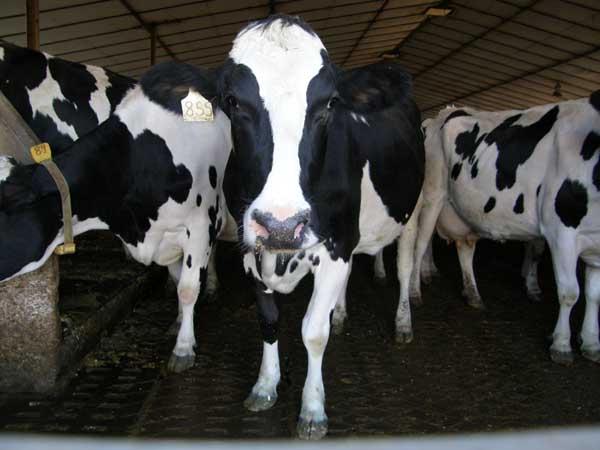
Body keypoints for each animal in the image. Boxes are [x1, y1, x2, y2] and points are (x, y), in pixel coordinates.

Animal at [0, 62, 232, 372]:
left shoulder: (199, 224)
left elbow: (187, 287)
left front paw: (183, 348)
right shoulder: (165, 237)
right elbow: (176, 277)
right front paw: (179, 321)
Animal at [218, 16, 424, 440]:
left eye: (329, 104)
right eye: (232, 101)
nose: (282, 225)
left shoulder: (337, 245)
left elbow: (313, 331)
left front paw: (312, 410)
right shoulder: (251, 249)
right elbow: (268, 320)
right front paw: (265, 386)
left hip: (414, 207)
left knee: (404, 267)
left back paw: (402, 323)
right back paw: (341, 313)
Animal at [412, 96, 600, 366]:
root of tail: (444, 113)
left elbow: (593, 295)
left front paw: (591, 342)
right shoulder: (560, 231)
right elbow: (569, 292)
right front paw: (562, 344)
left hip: (465, 211)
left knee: (464, 249)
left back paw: (472, 293)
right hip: (432, 195)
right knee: (420, 243)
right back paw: (415, 289)